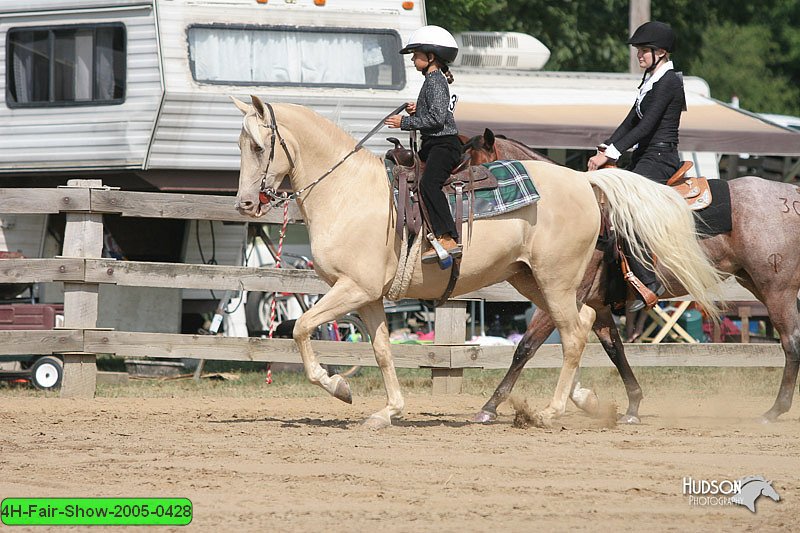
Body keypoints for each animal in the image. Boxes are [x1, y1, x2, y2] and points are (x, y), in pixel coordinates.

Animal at [234, 95, 720, 428]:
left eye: (259, 146)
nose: (244, 203)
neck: (348, 192)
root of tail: (587, 183)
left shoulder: (351, 289)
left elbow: (300, 327)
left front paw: (338, 387)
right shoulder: (367, 295)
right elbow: (383, 351)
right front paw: (386, 410)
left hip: (557, 280)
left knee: (573, 333)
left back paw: (550, 411)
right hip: (532, 280)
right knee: (583, 325)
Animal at [462, 129, 800, 424]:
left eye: (473, 172)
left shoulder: (565, 295)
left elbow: (526, 347)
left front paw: (489, 407)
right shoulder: (598, 306)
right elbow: (615, 349)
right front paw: (626, 405)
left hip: (777, 289)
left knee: (791, 342)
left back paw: (773, 412)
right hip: (756, 283)